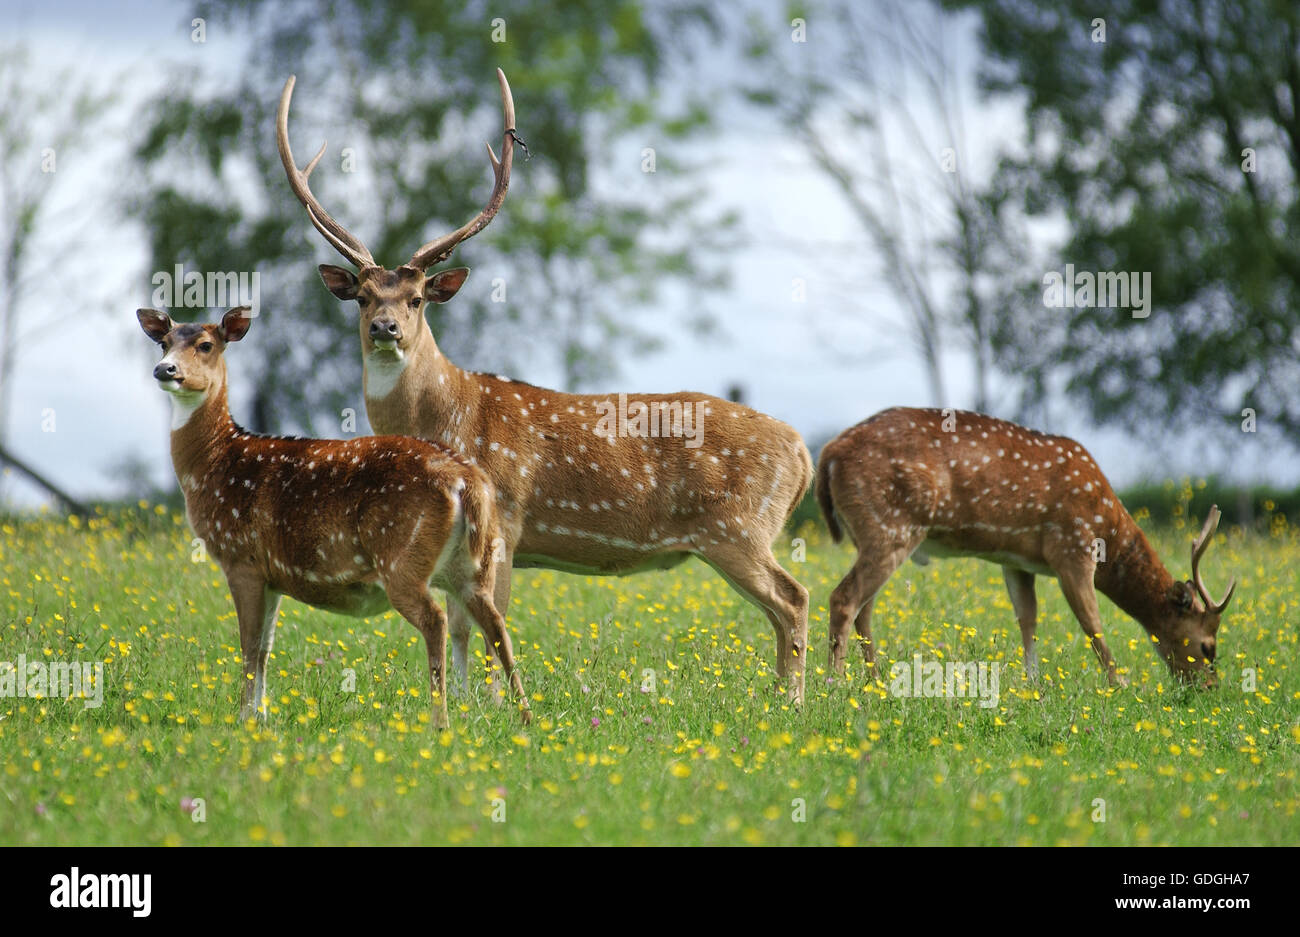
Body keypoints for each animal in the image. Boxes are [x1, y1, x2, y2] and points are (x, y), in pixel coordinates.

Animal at [135, 302, 527, 727]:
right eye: (163, 342)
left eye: (206, 344)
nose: (165, 370)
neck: (218, 464)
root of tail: (466, 482)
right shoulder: (273, 576)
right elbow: (266, 646)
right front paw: (262, 717)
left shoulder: (242, 559)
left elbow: (249, 643)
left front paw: (243, 719)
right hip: (474, 564)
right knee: (496, 622)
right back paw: (524, 716)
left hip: (402, 557)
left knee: (436, 620)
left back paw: (440, 721)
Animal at [278, 71, 811, 701]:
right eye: (361, 297)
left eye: (416, 299)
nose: (385, 328)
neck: (450, 416)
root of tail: (803, 452)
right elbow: (462, 623)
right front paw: (465, 702)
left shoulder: (505, 517)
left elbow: (489, 624)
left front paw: (490, 702)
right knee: (783, 607)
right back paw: (783, 697)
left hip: (740, 527)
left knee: (793, 598)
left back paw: (794, 702)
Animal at [816, 408, 1232, 686]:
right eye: (1207, 645)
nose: (1209, 688)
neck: (1107, 525)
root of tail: (828, 455)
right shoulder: (1073, 547)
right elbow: (1092, 624)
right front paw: (1120, 684)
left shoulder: (1016, 560)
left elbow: (1028, 618)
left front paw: (1033, 683)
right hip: (889, 526)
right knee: (845, 598)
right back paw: (836, 684)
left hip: (874, 534)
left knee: (864, 608)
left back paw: (875, 680)